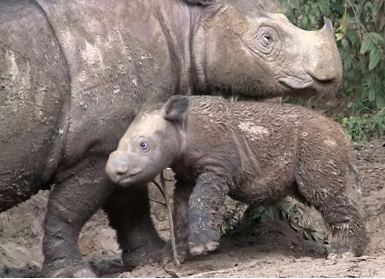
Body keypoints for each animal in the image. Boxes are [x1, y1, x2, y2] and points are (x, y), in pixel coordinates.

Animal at [105, 96, 366, 262]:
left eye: (143, 145)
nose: (112, 171)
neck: (182, 127)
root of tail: (343, 136)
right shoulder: (187, 174)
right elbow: (180, 209)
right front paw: (174, 255)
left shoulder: (218, 167)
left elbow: (201, 199)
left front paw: (203, 247)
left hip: (317, 143)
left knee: (323, 193)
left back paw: (342, 255)